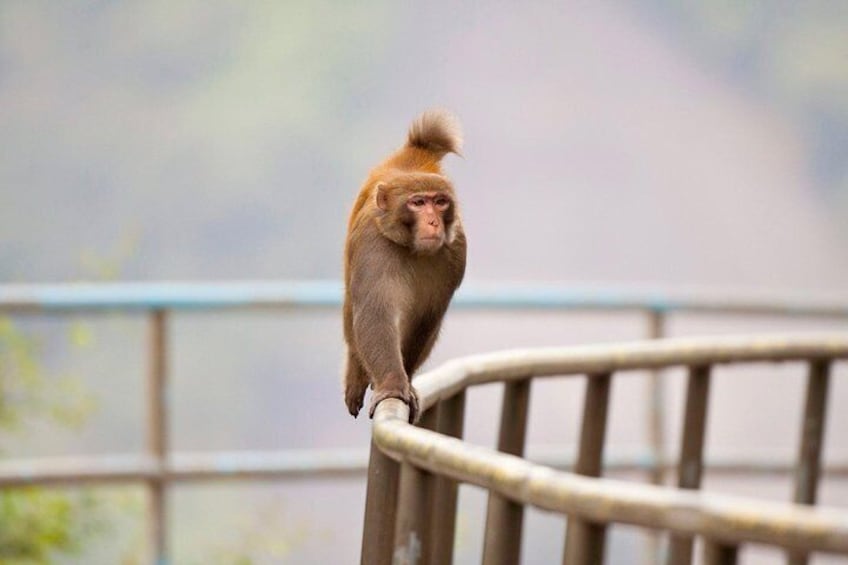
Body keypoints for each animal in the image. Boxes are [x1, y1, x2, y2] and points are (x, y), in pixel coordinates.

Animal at [342, 110, 468, 420]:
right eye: (418, 203)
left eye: (440, 202)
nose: (433, 222)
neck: (412, 249)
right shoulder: (373, 244)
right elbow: (375, 312)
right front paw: (391, 384)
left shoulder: (456, 251)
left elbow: (427, 315)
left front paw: (405, 383)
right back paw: (356, 372)